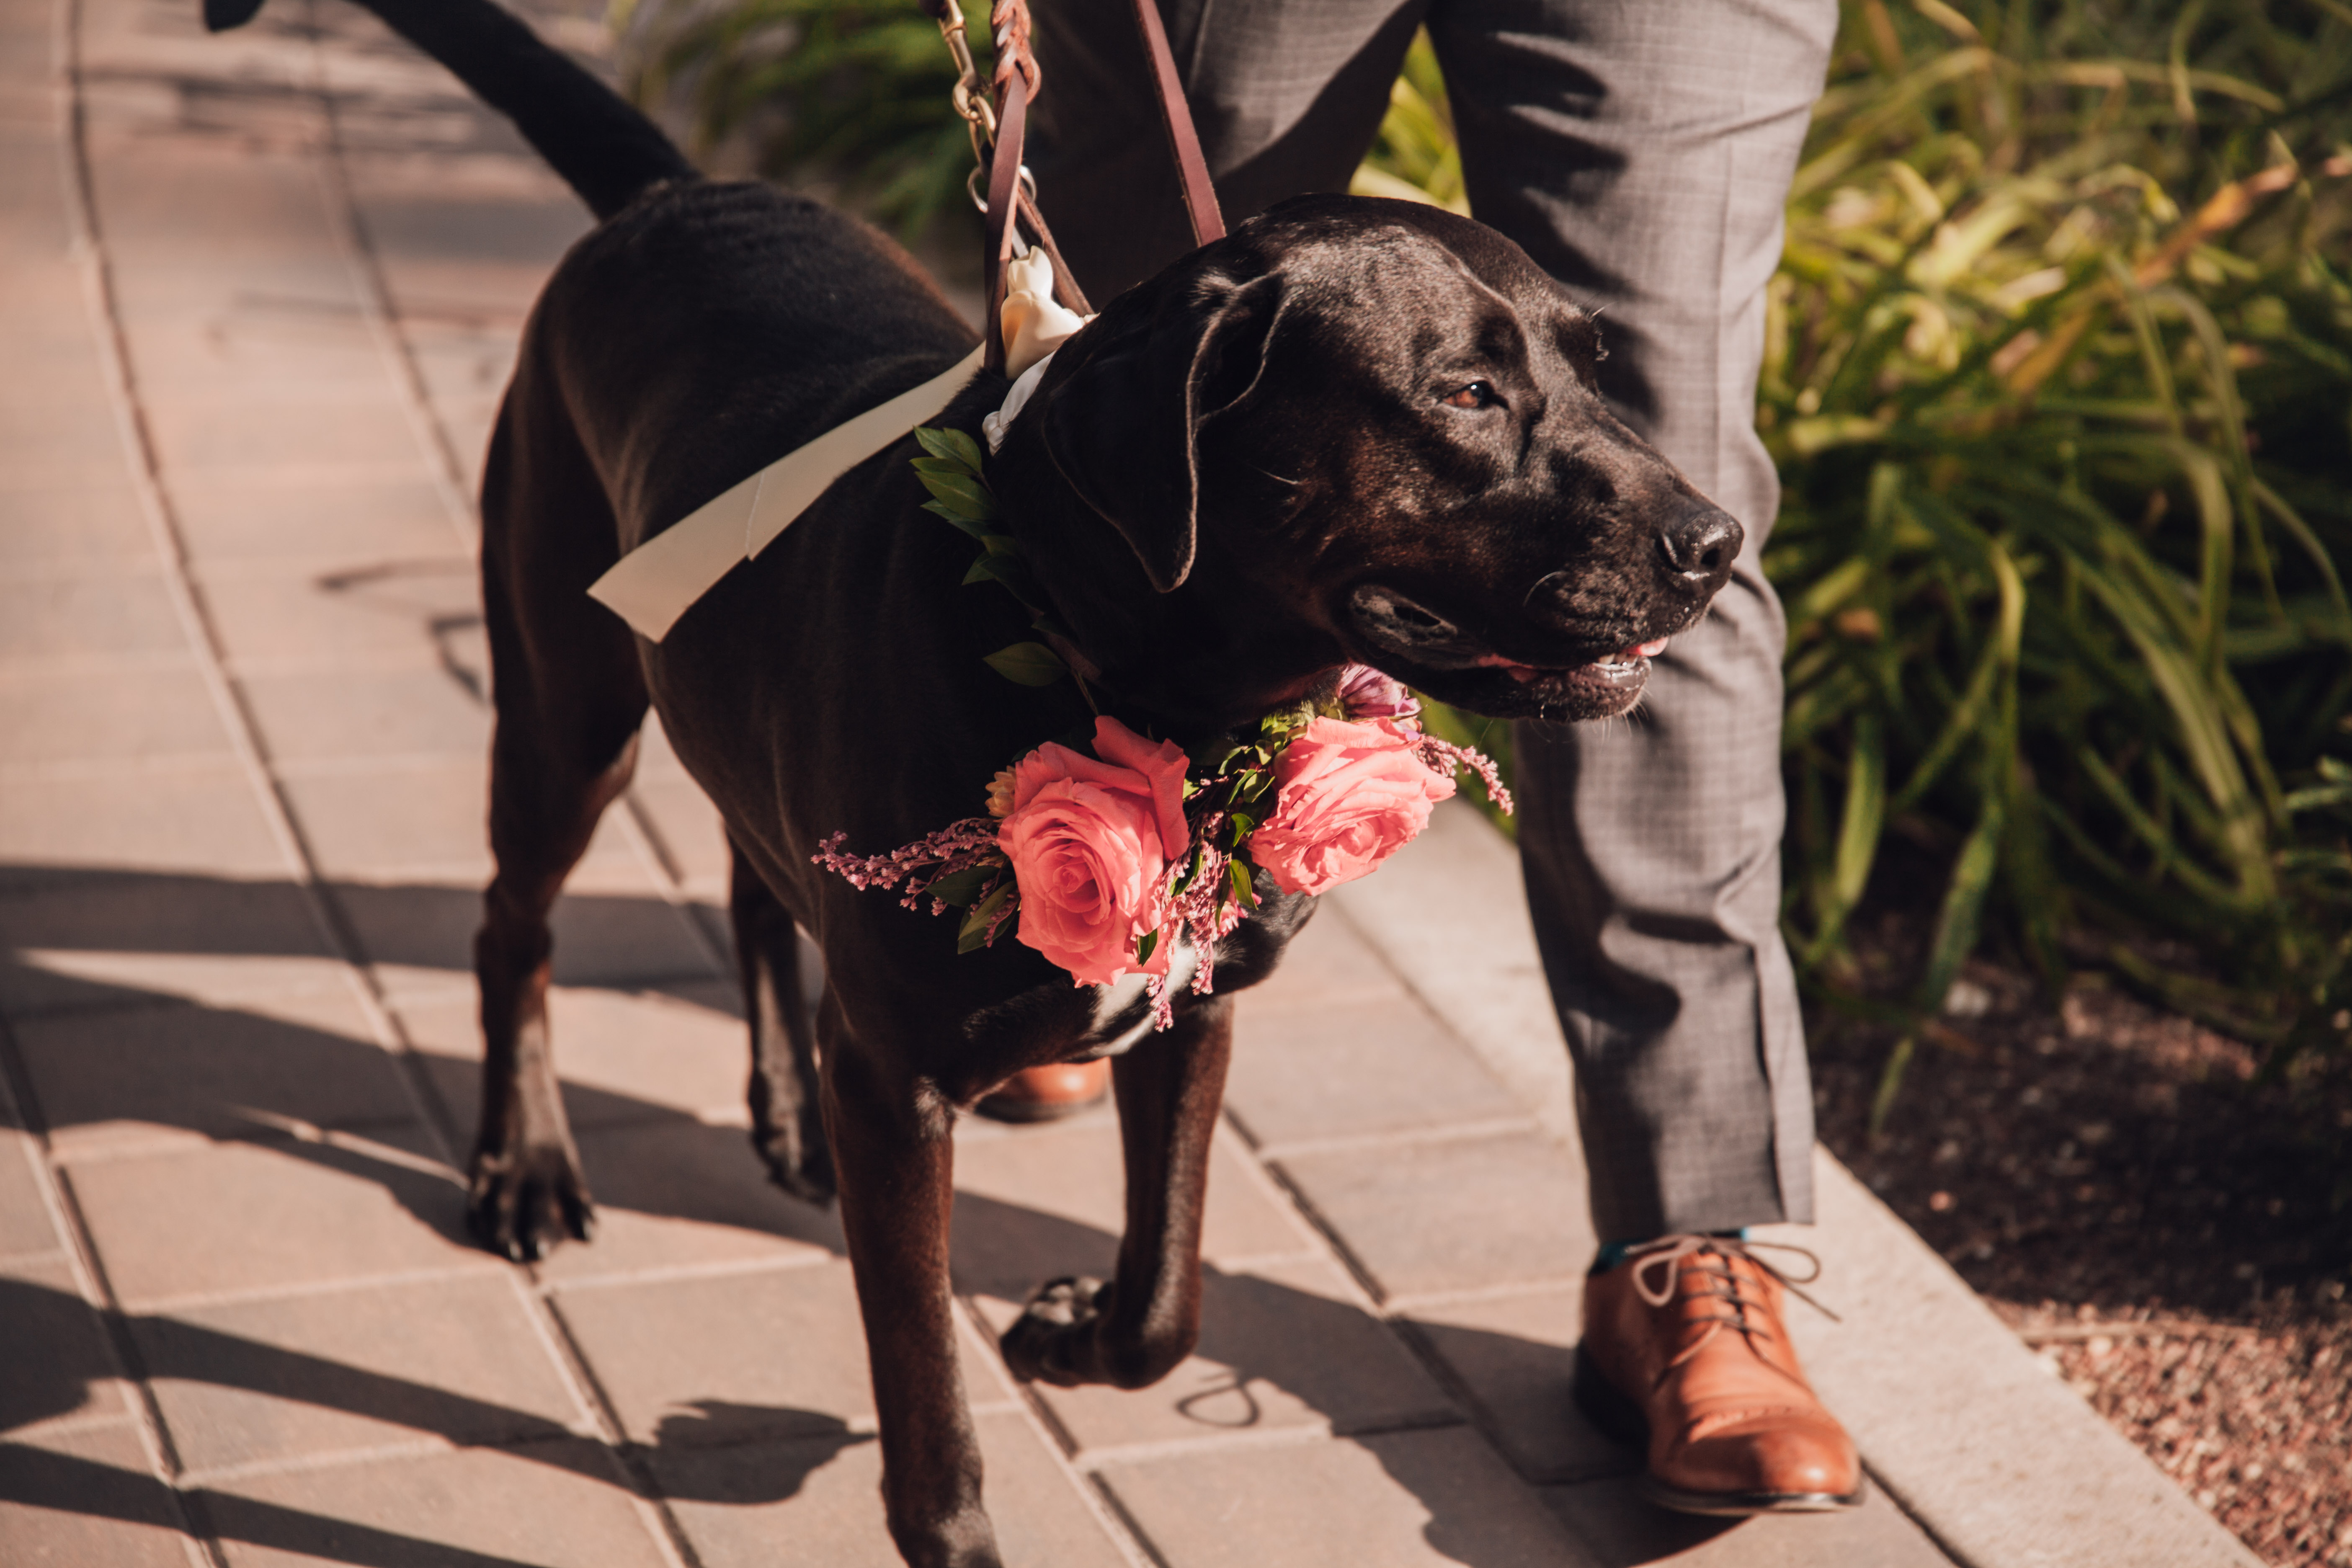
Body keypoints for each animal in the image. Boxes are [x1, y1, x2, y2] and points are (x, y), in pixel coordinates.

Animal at [202, 3, 1740, 1561]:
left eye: (1599, 365)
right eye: (1466, 393)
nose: (1720, 543)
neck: (1121, 675)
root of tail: (671, 196)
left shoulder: (1187, 1013)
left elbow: (1170, 1296)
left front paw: (1070, 1329)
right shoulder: (903, 1089)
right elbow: (925, 1387)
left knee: (753, 883)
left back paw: (782, 1107)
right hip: (565, 702)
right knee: (514, 925)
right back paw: (523, 1164)